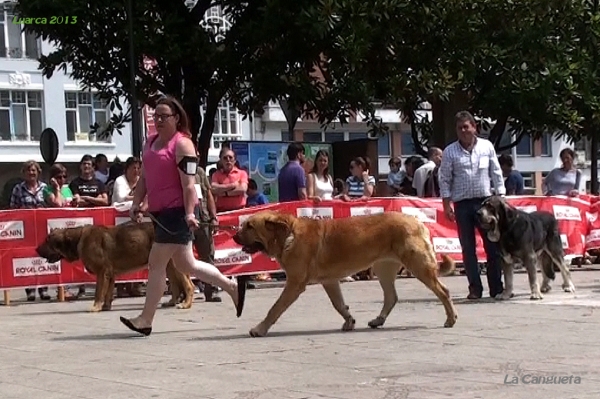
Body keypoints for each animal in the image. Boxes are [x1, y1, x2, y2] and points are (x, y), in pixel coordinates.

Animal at [35, 222, 193, 312]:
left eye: (47, 241)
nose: (36, 249)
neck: (78, 238)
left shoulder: (102, 272)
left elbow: (99, 292)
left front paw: (96, 307)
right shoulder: (110, 274)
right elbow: (108, 292)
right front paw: (106, 306)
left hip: (173, 265)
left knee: (188, 285)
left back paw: (185, 304)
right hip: (168, 266)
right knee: (176, 285)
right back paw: (172, 302)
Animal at [232, 209, 458, 338]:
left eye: (250, 226)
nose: (234, 236)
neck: (287, 234)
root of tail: (418, 222)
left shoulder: (294, 283)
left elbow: (275, 308)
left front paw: (259, 329)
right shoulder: (330, 281)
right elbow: (339, 304)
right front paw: (349, 320)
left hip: (417, 265)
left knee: (443, 291)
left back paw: (450, 319)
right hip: (383, 268)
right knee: (391, 296)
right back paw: (378, 320)